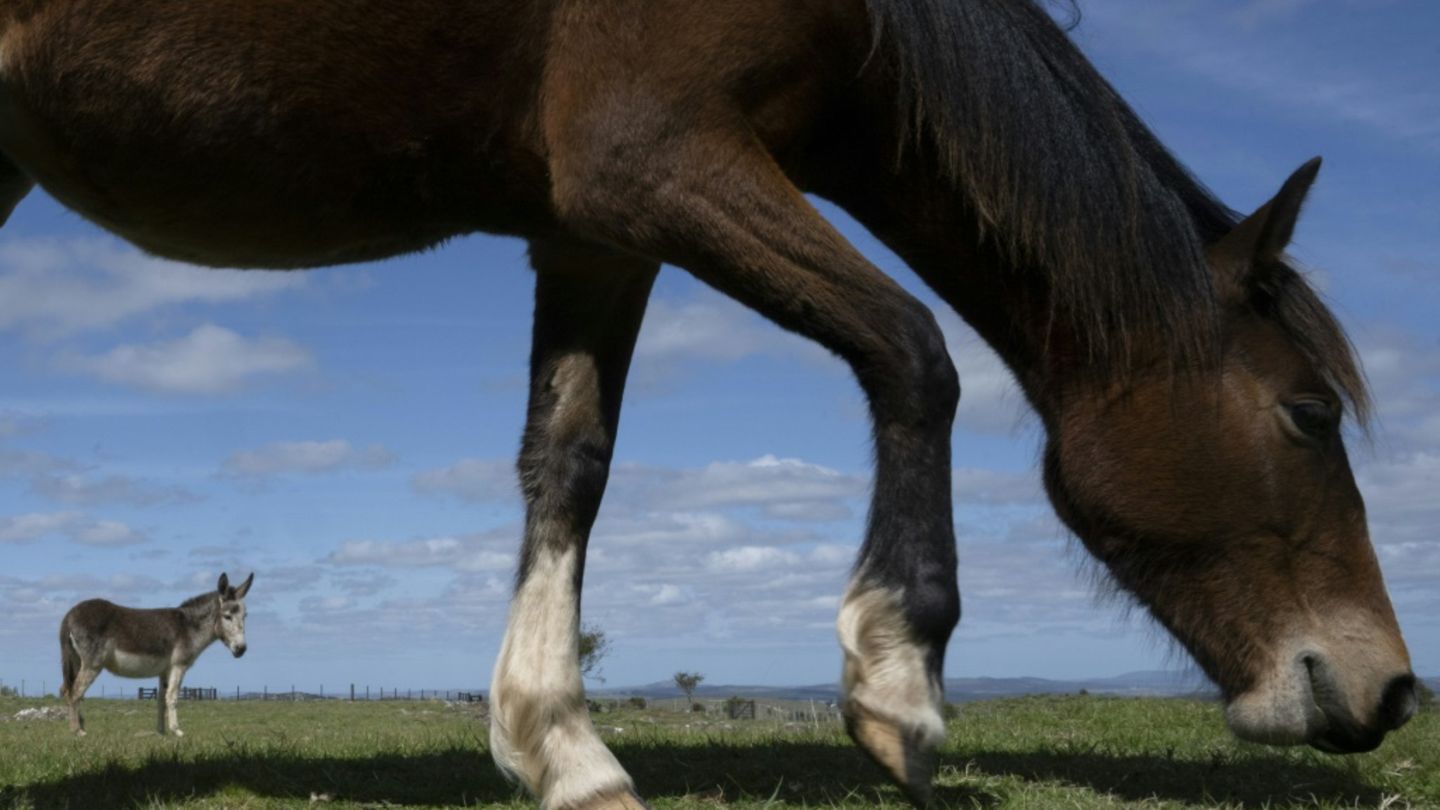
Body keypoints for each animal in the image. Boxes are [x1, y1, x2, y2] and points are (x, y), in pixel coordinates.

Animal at [59, 573, 253, 736]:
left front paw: (161, 732)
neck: (188, 627)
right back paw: (78, 731)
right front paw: (177, 731)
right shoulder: (178, 666)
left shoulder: (164, 670)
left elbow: (161, 699)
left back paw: (78, 726)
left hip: (77, 661)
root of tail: (69, 615)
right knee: (75, 692)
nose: (241, 649)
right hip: (92, 664)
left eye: (245, 616)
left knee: (67, 690)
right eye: (227, 616)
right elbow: (172, 697)